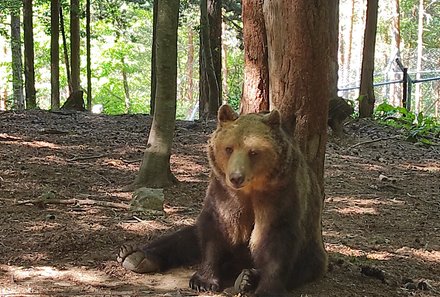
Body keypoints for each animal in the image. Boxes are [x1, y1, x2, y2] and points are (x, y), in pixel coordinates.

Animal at [117, 104, 326, 296]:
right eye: (228, 148)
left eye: (253, 152)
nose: (236, 177)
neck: (250, 190)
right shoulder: (223, 193)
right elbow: (216, 230)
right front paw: (203, 280)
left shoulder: (280, 194)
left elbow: (275, 238)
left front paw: (267, 289)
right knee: (184, 238)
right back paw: (134, 255)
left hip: (312, 248)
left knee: (303, 266)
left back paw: (247, 278)